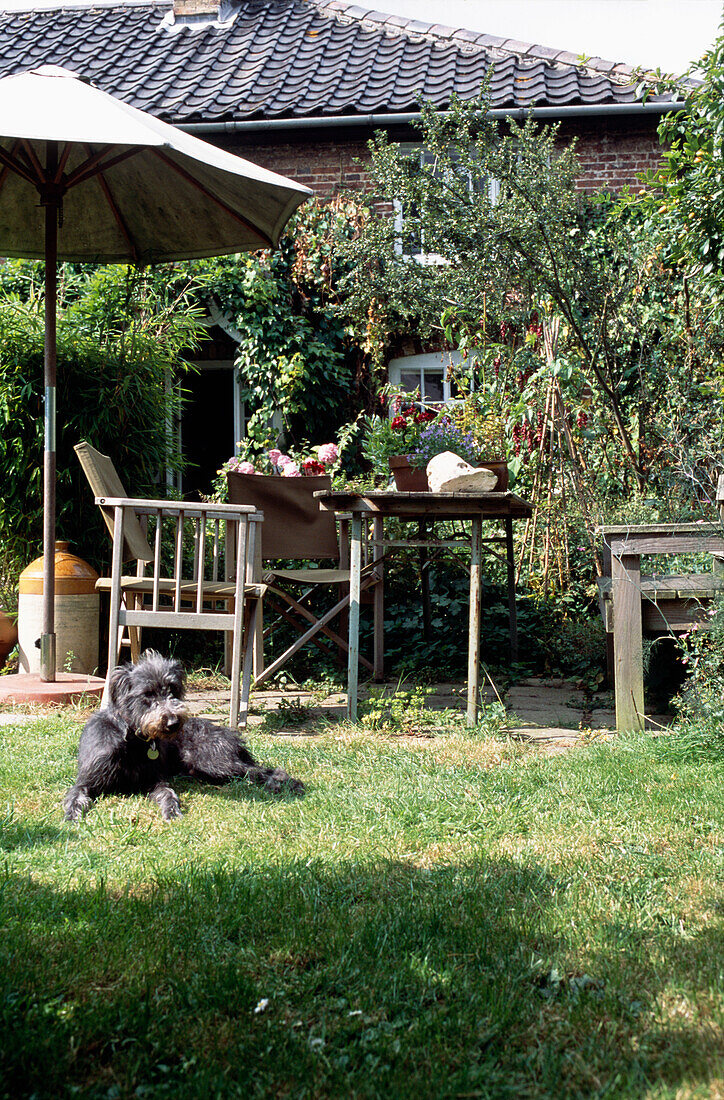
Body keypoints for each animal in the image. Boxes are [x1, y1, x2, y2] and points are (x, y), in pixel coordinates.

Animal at [63, 646, 303, 822]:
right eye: (147, 694)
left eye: (173, 689)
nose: (173, 722)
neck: (133, 741)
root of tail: (232, 736)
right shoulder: (85, 781)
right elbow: (75, 796)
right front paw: (72, 816)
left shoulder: (156, 781)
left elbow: (168, 794)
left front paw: (171, 810)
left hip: (212, 761)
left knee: (261, 770)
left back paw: (284, 783)